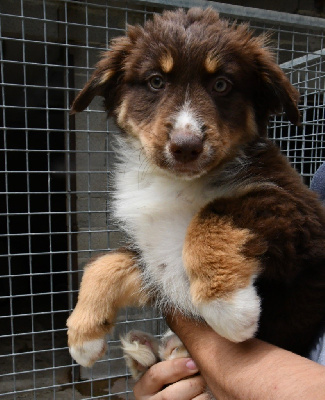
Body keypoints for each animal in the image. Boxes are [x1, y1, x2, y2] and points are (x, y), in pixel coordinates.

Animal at [66, 7, 324, 368]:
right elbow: (105, 264)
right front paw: (83, 334)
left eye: (221, 84)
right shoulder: (156, 258)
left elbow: (213, 212)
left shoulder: (303, 215)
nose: (186, 146)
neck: (176, 183)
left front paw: (226, 305)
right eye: (156, 81)